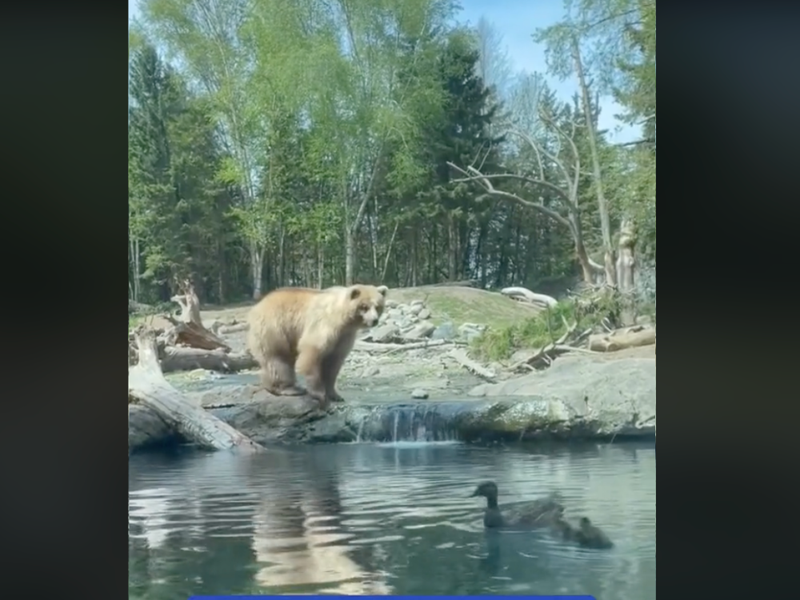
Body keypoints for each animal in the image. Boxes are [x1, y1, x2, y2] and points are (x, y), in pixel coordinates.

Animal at [246, 283, 388, 407]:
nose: (374, 320)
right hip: (275, 328)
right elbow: (312, 352)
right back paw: (289, 389)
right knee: (278, 359)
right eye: (364, 306)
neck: (344, 319)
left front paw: (335, 395)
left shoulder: (344, 337)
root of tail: (259, 304)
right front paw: (319, 394)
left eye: (378, 306)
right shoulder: (325, 325)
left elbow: (333, 363)